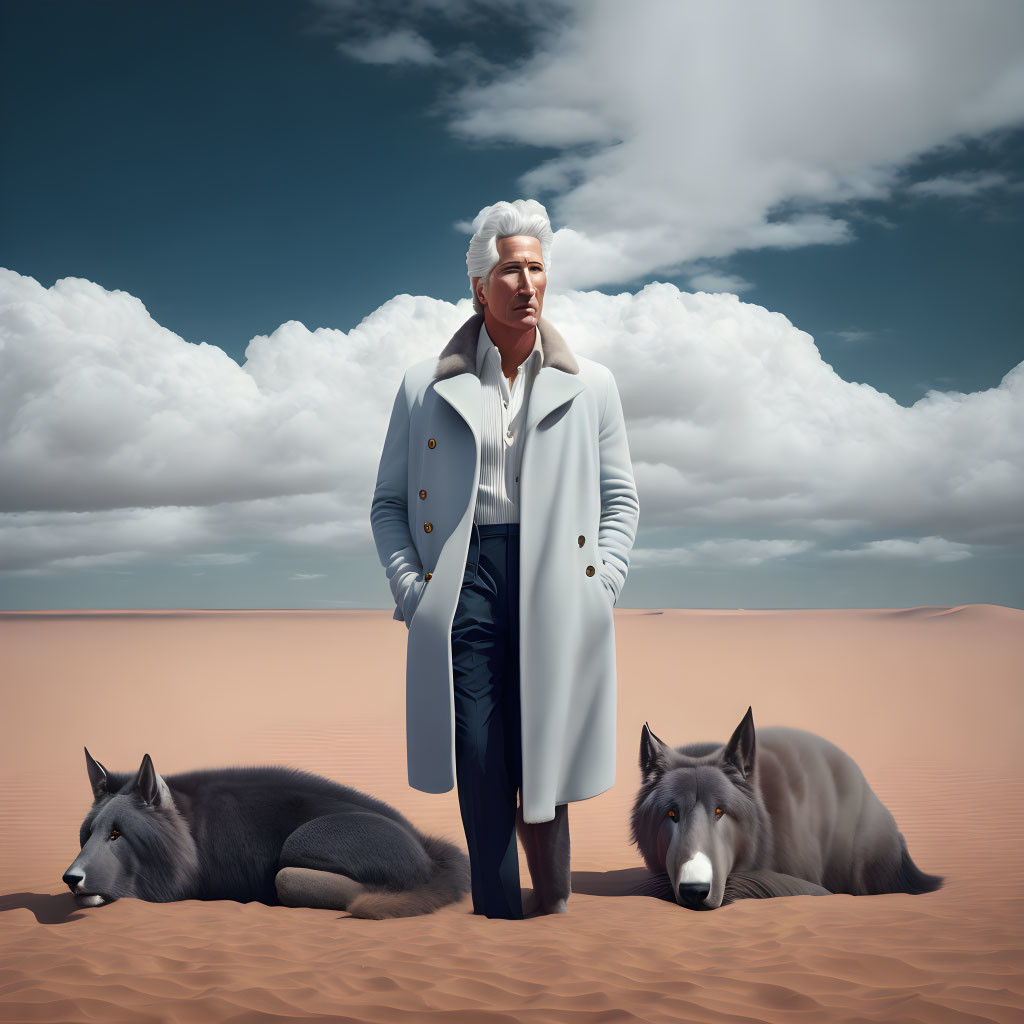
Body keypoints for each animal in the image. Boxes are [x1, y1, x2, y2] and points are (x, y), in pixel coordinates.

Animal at [66, 745, 473, 921]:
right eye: (87, 834)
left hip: (300, 845)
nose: (70, 878)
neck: (191, 830)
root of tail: (426, 847)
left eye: (117, 834)